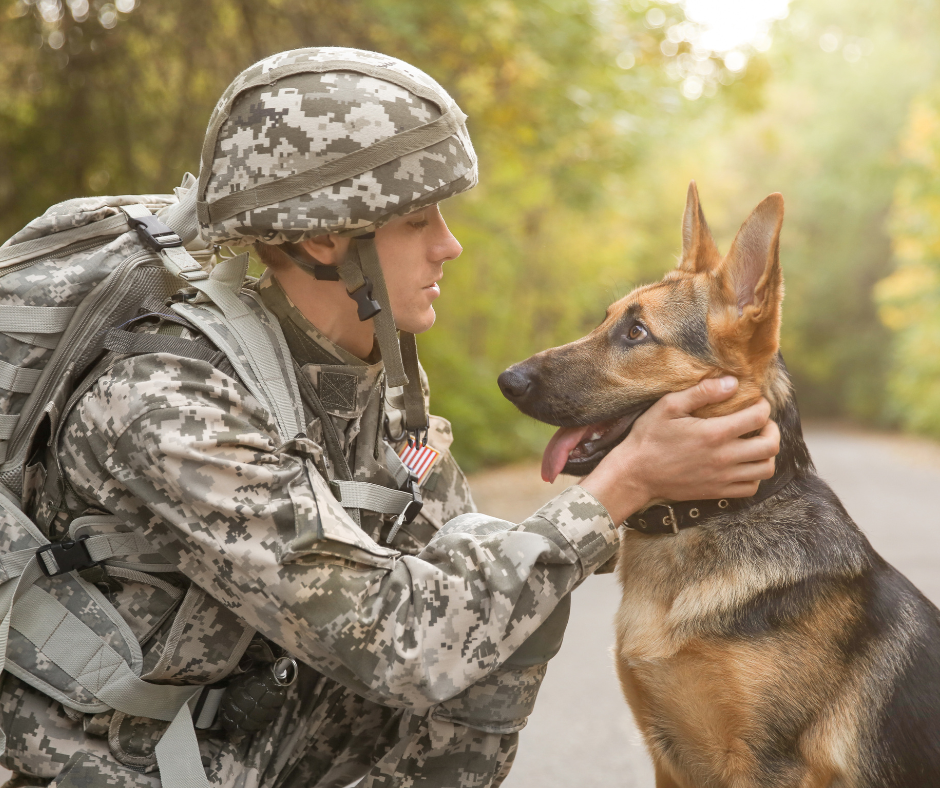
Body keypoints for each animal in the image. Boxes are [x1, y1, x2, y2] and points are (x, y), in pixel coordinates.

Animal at [496, 182, 940, 784]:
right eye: (606, 319)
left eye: (636, 332)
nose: (506, 380)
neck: (712, 511)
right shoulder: (666, 760)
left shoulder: (766, 766)